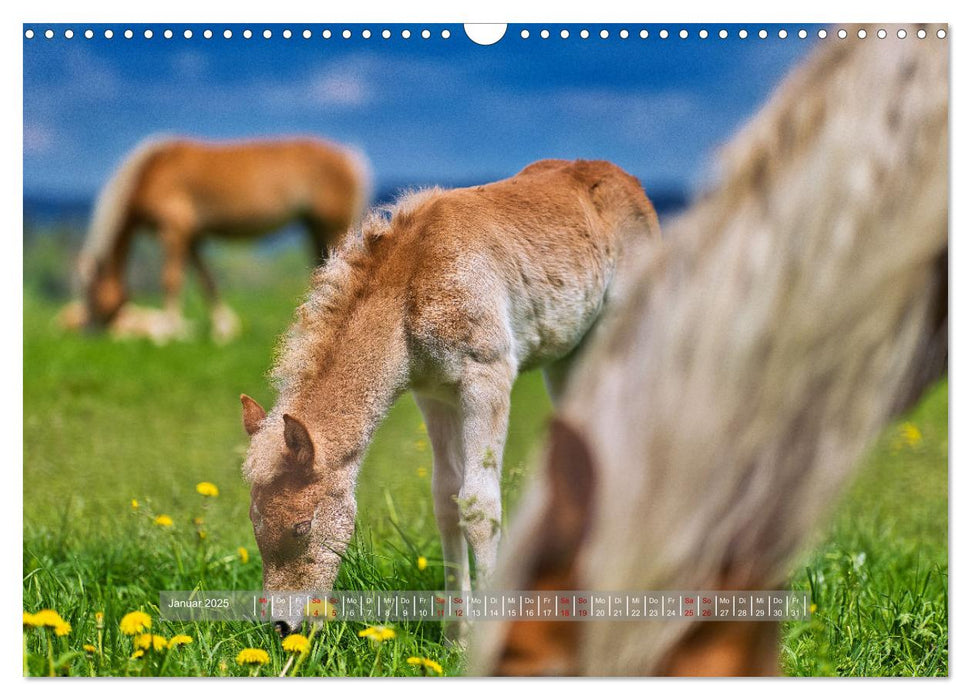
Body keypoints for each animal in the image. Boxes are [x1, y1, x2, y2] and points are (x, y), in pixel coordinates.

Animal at [60, 135, 370, 344]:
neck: (151, 172)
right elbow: (206, 280)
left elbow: (171, 279)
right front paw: (224, 328)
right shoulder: (192, 236)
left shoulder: (173, 230)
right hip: (314, 226)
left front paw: (168, 332)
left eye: (90, 294)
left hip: (333, 225)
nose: (88, 333)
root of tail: (350, 157)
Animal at [237, 160, 660, 640]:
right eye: (254, 521)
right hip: (566, 358)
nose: (282, 625)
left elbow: (478, 505)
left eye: (301, 526)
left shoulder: (488, 376)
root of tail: (627, 180)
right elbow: (445, 498)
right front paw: (456, 635)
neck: (411, 287)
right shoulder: (434, 393)